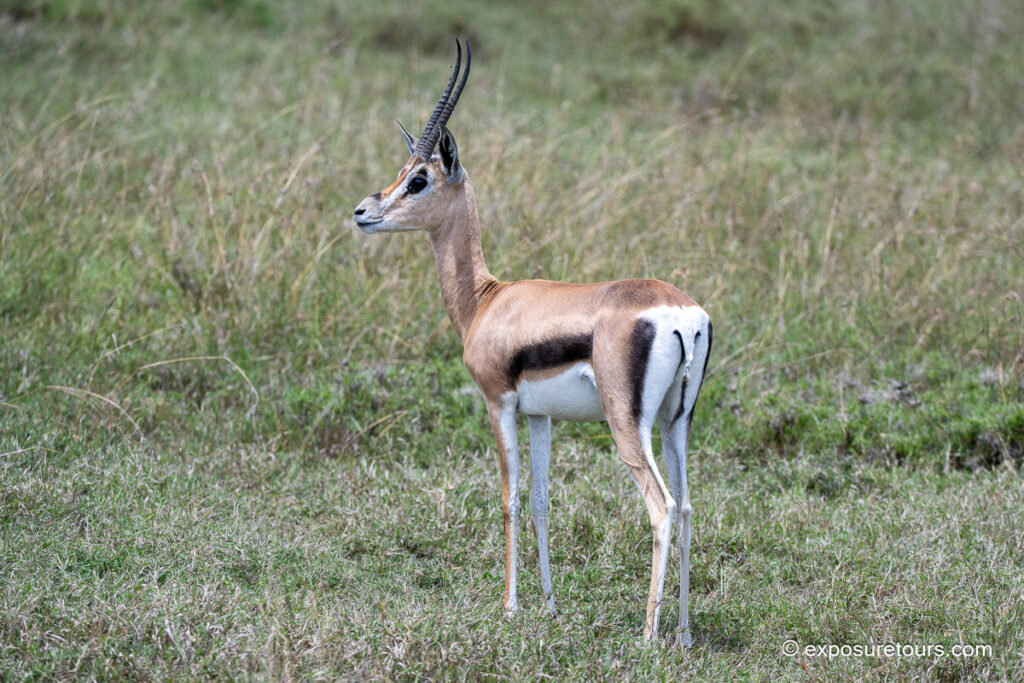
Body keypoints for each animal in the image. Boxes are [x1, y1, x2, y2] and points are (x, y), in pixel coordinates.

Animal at [352, 41, 712, 646]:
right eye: (401, 172)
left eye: (419, 179)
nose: (362, 212)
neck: (488, 300)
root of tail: (681, 314)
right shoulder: (542, 416)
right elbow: (543, 502)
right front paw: (547, 605)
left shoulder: (498, 403)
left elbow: (510, 499)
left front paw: (510, 605)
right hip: (675, 421)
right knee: (686, 505)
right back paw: (683, 631)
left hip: (628, 425)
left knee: (661, 507)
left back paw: (648, 635)